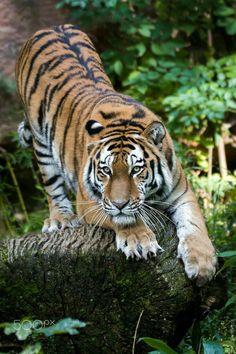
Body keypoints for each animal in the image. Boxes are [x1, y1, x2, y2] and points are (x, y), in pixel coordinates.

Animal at [15, 24, 217, 284]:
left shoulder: (183, 193)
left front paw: (203, 264)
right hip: (40, 140)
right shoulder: (89, 202)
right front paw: (139, 240)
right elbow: (122, 218)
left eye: (136, 169)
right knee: (52, 186)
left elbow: (195, 224)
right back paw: (60, 219)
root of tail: (50, 27)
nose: (120, 203)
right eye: (105, 171)